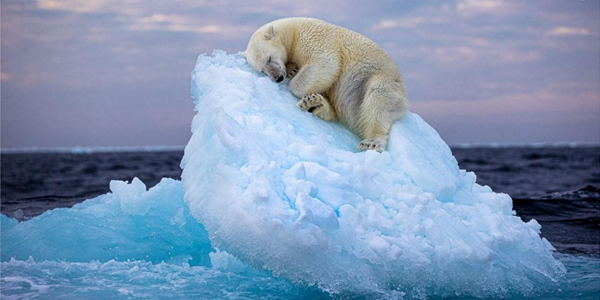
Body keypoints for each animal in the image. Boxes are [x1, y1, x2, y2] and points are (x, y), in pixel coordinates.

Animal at [244, 17, 408, 152]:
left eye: (269, 58)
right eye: (262, 70)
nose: (278, 77)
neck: (293, 31)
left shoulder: (314, 39)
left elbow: (325, 64)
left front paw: (294, 79)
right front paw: (292, 70)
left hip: (381, 78)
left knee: (378, 100)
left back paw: (371, 142)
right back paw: (313, 103)